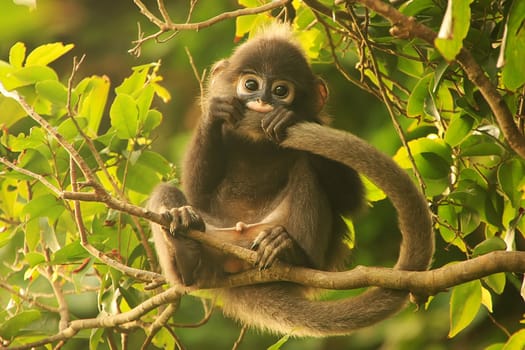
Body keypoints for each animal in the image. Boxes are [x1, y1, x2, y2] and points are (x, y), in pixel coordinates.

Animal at [148, 23, 434, 336]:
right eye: (251, 85)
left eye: (280, 90)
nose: (262, 101)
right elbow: (198, 192)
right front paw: (215, 113)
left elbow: (350, 201)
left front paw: (287, 118)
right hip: (216, 240)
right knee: (166, 193)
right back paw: (185, 248)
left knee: (307, 173)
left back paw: (289, 251)